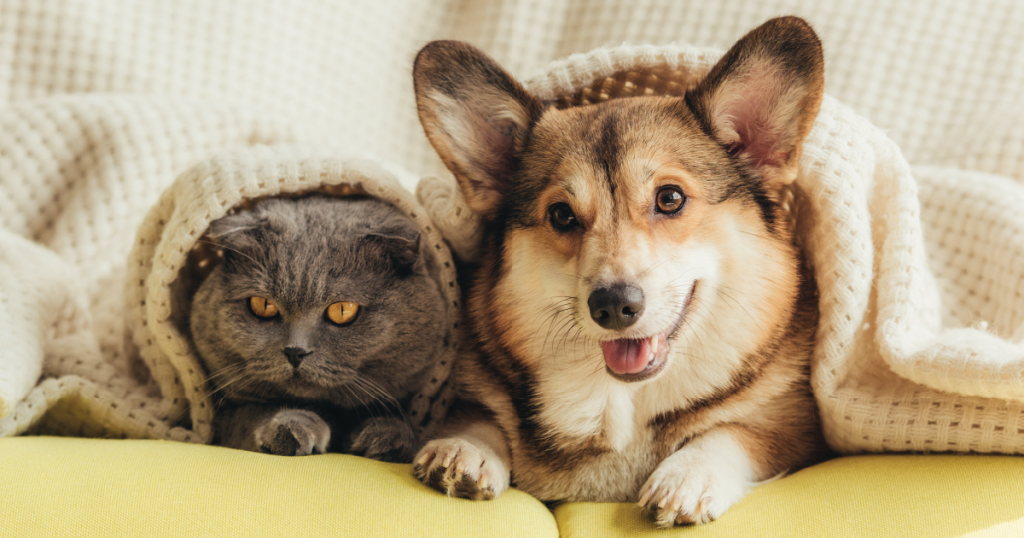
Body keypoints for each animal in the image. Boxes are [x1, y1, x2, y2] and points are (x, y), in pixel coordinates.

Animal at [190, 194, 446, 463]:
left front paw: (388, 436)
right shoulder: (223, 418)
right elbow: (249, 414)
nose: (295, 351)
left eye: (343, 310)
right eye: (263, 305)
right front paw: (292, 428)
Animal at [411, 15, 827, 524]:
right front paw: (463, 449)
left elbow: (731, 432)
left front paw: (688, 476)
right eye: (561, 215)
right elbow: (481, 417)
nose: (613, 306)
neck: (618, 401)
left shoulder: (792, 426)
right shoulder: (476, 392)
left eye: (670, 198)